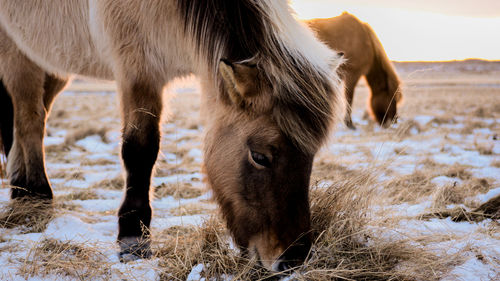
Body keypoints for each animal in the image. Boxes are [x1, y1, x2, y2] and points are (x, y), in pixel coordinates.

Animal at [0, 0, 344, 272]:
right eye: (260, 156)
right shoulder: (138, 71)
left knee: (32, 117)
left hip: (50, 61)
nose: (292, 259)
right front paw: (134, 236)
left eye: (311, 157)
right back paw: (31, 192)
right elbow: (140, 149)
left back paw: (28, 191)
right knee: (28, 118)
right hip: (17, 52)